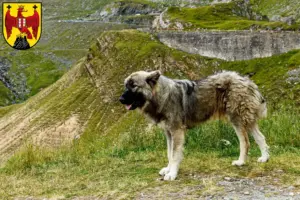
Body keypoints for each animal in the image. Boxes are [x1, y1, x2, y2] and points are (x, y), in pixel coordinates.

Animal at [119, 70, 270, 181]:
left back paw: (241, 162)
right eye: (126, 85)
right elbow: (169, 154)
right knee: (260, 137)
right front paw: (168, 169)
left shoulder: (176, 131)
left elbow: (175, 155)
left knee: (245, 142)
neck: (161, 95)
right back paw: (264, 158)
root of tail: (247, 80)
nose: (120, 99)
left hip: (237, 118)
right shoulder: (168, 133)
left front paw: (172, 173)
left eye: (134, 85)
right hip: (245, 120)